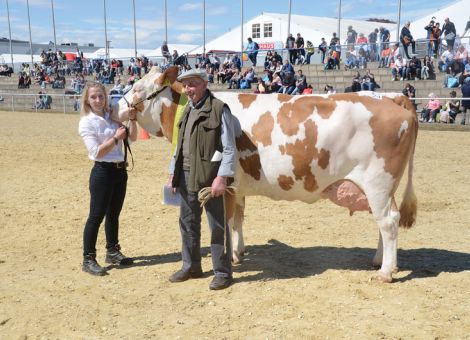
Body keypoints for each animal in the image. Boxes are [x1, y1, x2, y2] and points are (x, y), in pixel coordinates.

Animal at [115, 65, 416, 282]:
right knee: (387, 219)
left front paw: (228, 261)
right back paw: (380, 261)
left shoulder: (224, 184)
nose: (117, 108)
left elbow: (225, 223)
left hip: (378, 181)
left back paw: (385, 272)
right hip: (383, 187)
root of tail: (394, 99)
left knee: (388, 221)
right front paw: (238, 252)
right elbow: (238, 218)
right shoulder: (238, 185)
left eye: (138, 87)